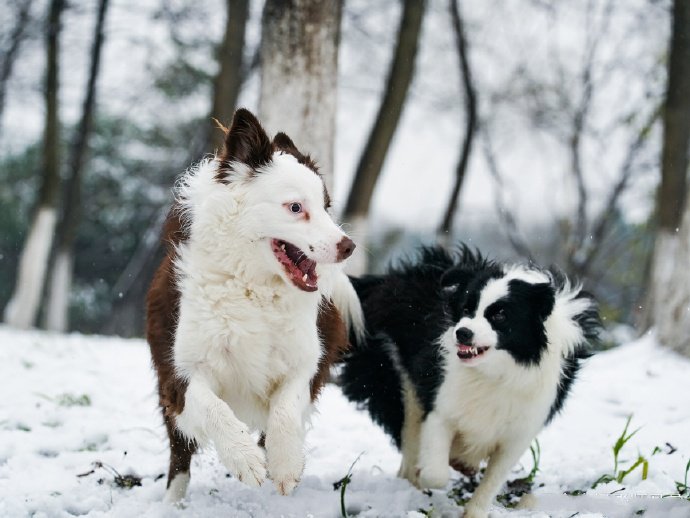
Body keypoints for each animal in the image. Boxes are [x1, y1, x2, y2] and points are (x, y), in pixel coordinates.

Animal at [145, 108, 360, 504]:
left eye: (326, 207)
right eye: (295, 207)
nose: (348, 246)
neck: (254, 286)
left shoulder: (305, 362)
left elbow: (287, 410)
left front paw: (285, 464)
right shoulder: (180, 372)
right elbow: (213, 408)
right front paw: (244, 459)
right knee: (180, 452)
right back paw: (172, 503)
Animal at [342, 248, 600, 518]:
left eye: (500, 314)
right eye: (467, 308)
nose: (462, 333)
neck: (496, 370)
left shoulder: (519, 430)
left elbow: (492, 480)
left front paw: (474, 509)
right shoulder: (442, 403)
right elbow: (436, 473)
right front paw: (437, 470)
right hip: (399, 376)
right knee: (410, 431)